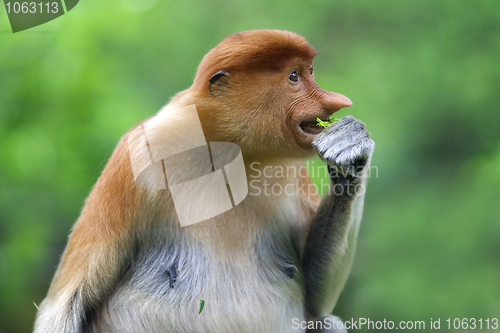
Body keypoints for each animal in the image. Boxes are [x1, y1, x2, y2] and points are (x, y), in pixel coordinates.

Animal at [34, 29, 376, 332]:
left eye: (310, 71)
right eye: (294, 77)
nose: (337, 101)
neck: (227, 151)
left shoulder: (291, 171)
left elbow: (318, 299)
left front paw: (349, 146)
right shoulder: (136, 158)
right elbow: (65, 303)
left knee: (327, 322)